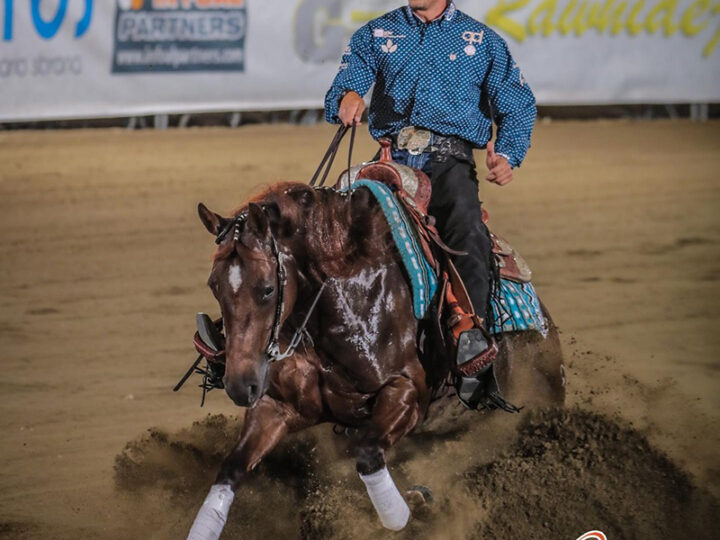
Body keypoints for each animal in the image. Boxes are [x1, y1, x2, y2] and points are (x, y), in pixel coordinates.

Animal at [184, 182, 564, 540]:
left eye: (267, 289)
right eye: (214, 285)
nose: (239, 385)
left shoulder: (406, 394)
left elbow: (368, 457)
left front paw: (409, 511)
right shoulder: (276, 407)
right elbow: (231, 469)